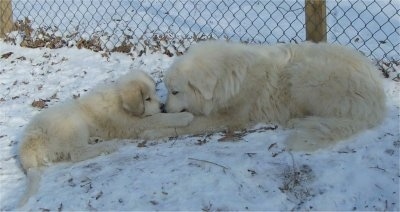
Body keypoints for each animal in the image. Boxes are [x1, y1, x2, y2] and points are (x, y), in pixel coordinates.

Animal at [18, 70, 194, 206]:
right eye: (147, 99)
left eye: (155, 93)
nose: (162, 107)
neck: (119, 101)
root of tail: (28, 141)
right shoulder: (133, 123)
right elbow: (157, 118)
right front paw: (183, 116)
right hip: (74, 123)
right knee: (77, 153)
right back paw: (108, 146)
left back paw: (96, 140)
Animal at [143, 40, 384, 151]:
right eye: (167, 89)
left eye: (175, 91)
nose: (164, 108)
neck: (228, 78)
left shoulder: (229, 118)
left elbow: (187, 125)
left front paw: (153, 131)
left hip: (304, 76)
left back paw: (297, 121)